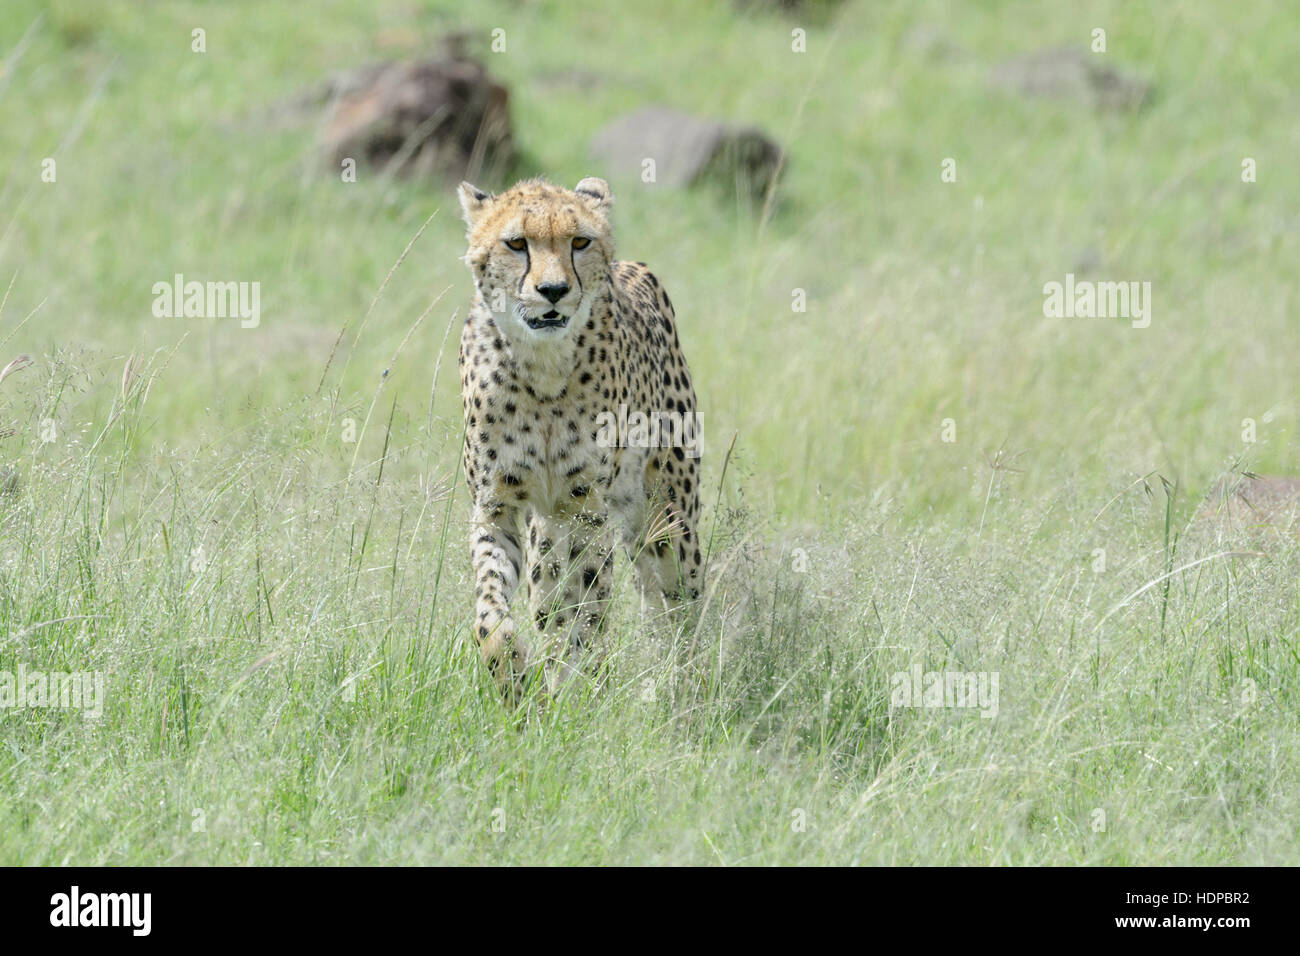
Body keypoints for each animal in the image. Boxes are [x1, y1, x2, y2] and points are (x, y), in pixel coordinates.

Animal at [457, 175, 702, 697]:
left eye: (580, 242)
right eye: (516, 243)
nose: (553, 290)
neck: (542, 366)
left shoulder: (585, 508)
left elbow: (587, 603)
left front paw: (582, 683)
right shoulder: (499, 507)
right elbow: (492, 610)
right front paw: (513, 674)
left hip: (667, 516)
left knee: (679, 603)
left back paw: (685, 683)